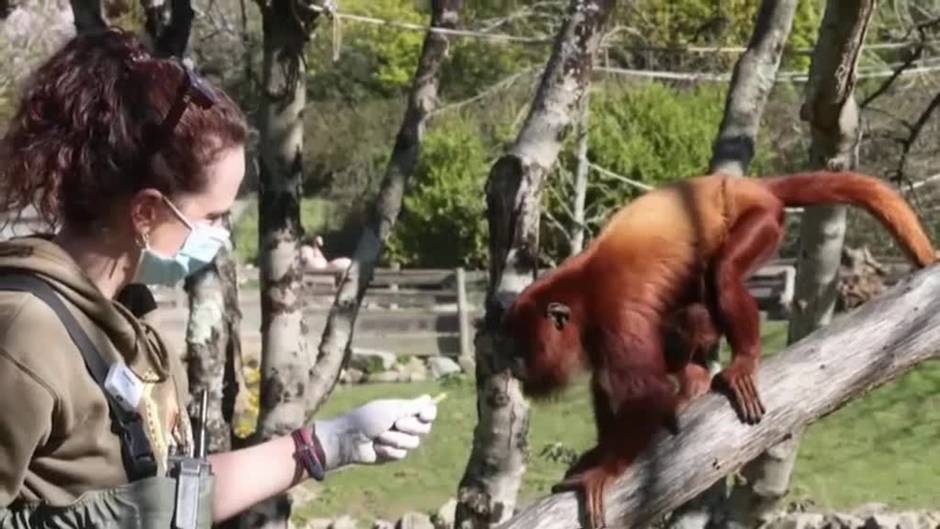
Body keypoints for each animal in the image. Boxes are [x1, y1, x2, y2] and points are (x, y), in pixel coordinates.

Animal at [506, 171, 940, 524]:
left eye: (524, 344)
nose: (513, 365)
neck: (581, 296)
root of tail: (745, 184)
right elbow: (604, 383)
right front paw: (600, 452)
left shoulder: (616, 317)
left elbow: (647, 394)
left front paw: (603, 472)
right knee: (690, 314)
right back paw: (695, 378)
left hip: (762, 218)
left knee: (723, 273)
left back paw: (738, 362)